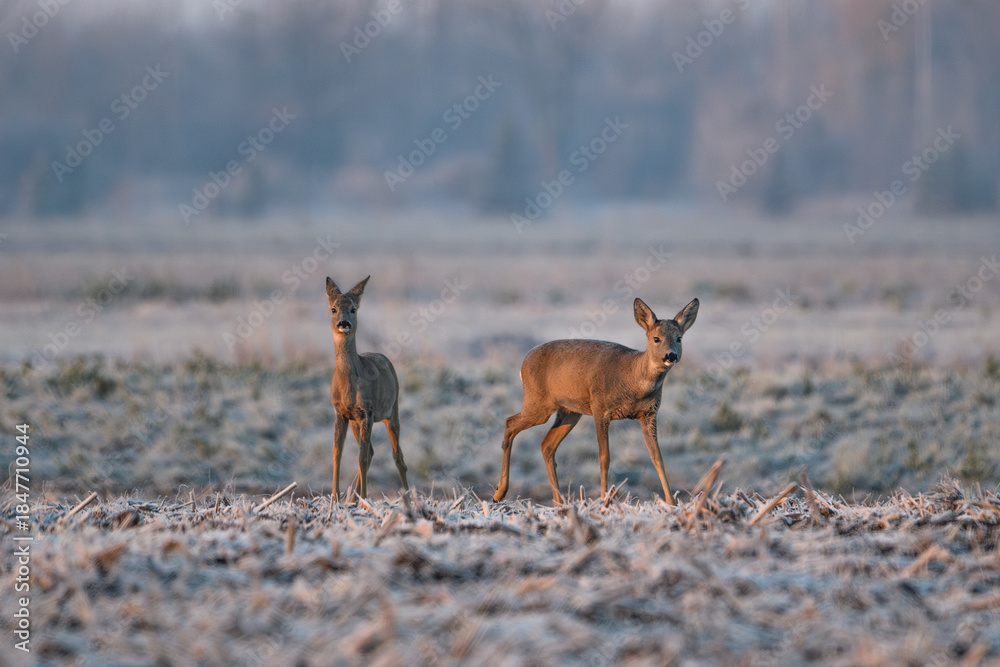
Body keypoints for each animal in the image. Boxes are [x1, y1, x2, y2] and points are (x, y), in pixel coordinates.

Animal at [327, 276, 408, 501]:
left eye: (353, 309)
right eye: (333, 309)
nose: (343, 324)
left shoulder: (367, 412)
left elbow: (361, 458)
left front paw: (363, 498)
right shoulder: (341, 413)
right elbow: (337, 453)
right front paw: (334, 498)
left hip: (392, 411)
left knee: (397, 456)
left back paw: (407, 494)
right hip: (356, 421)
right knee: (371, 451)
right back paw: (353, 497)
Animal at [493, 297, 699, 505]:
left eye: (679, 338)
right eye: (656, 338)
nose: (670, 355)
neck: (632, 379)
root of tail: (523, 362)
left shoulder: (649, 413)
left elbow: (657, 457)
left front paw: (672, 503)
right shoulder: (600, 409)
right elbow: (604, 457)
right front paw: (604, 500)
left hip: (570, 412)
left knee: (547, 445)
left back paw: (559, 502)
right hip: (537, 403)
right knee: (510, 423)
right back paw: (499, 493)